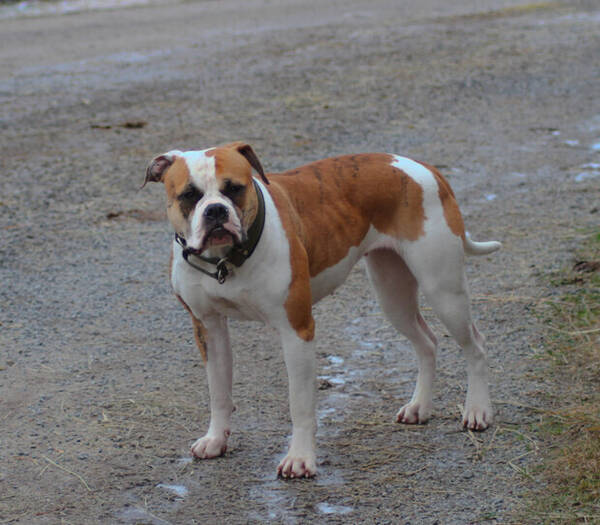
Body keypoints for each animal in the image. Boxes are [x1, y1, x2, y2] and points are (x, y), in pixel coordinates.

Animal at [143, 141, 500, 476]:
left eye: (235, 188)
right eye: (189, 195)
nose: (216, 211)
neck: (226, 261)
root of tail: (423, 167)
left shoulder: (296, 331)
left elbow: (300, 404)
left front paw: (300, 459)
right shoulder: (209, 328)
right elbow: (218, 392)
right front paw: (216, 440)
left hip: (444, 290)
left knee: (476, 346)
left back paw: (477, 411)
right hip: (393, 295)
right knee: (427, 343)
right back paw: (419, 407)